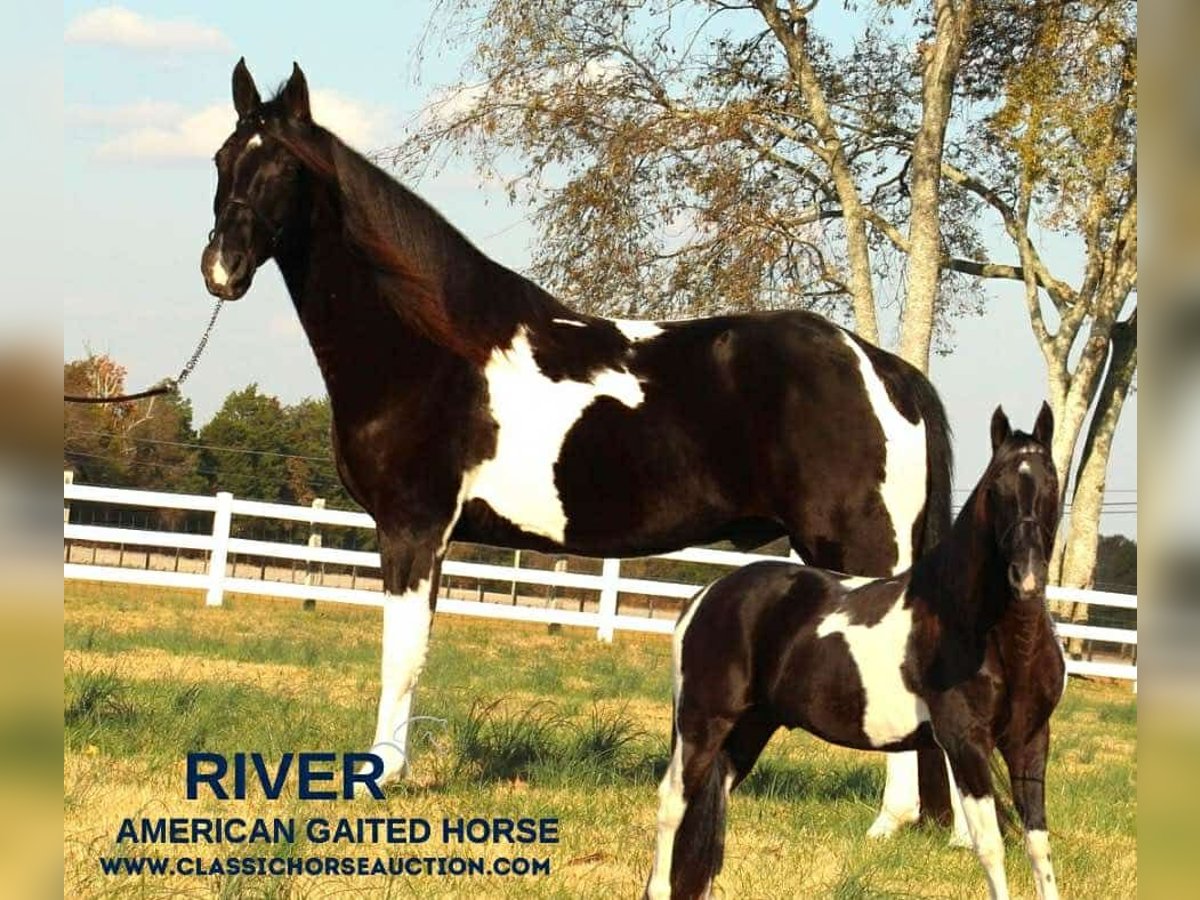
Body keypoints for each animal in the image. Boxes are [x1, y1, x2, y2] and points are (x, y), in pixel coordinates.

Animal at [204, 61, 955, 840]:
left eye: (284, 168)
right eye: (223, 161)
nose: (221, 270)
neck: (430, 349)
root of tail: (884, 370)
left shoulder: (413, 529)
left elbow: (401, 657)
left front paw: (379, 778)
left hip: (863, 552)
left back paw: (889, 821)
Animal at [652, 408, 1075, 900]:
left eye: (1051, 482)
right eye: (995, 486)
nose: (1026, 576)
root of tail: (706, 596)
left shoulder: (1030, 740)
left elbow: (1039, 847)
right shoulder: (966, 743)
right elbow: (990, 847)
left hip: (748, 730)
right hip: (702, 724)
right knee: (672, 804)